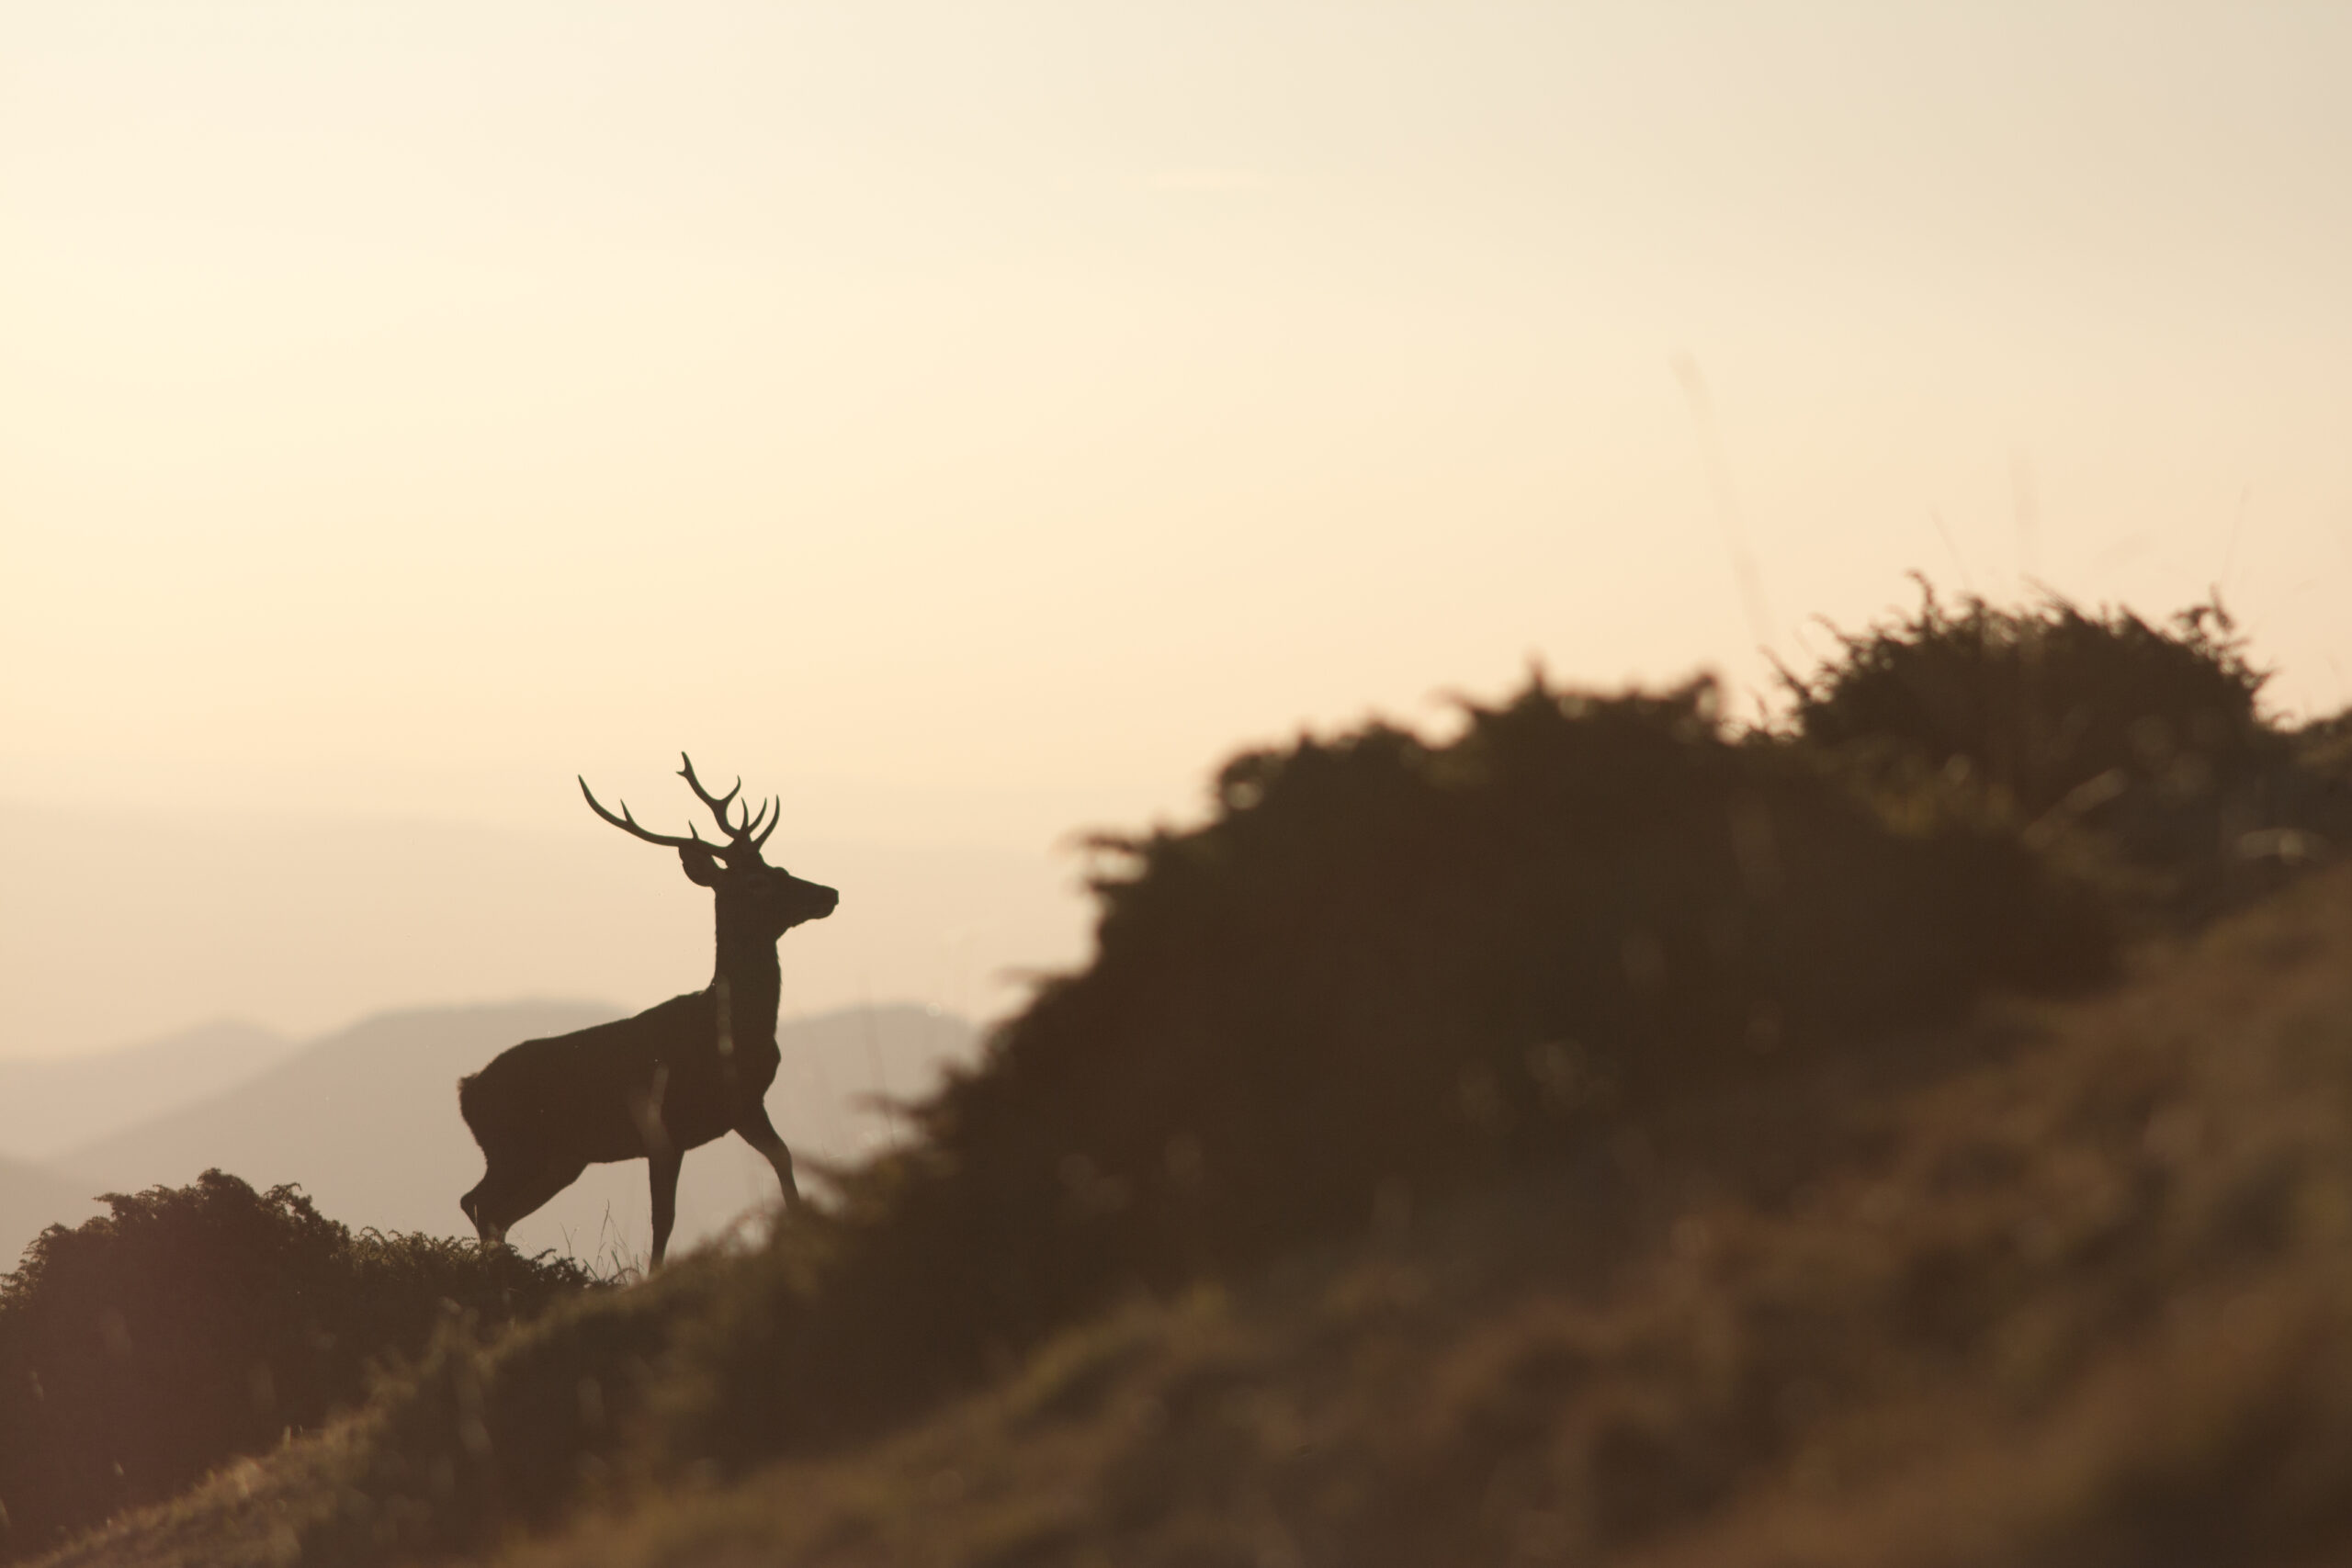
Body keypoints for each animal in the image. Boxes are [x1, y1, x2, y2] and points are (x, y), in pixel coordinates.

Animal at [458, 756, 839, 1267]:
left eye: (781, 866)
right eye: (757, 882)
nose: (829, 893)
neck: (733, 1031)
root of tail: (466, 1089)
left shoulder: (746, 1107)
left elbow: (784, 1160)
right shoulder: (663, 1123)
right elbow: (665, 1218)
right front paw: (654, 1274)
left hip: (559, 1158)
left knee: (494, 1209)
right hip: (515, 1146)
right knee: (479, 1202)